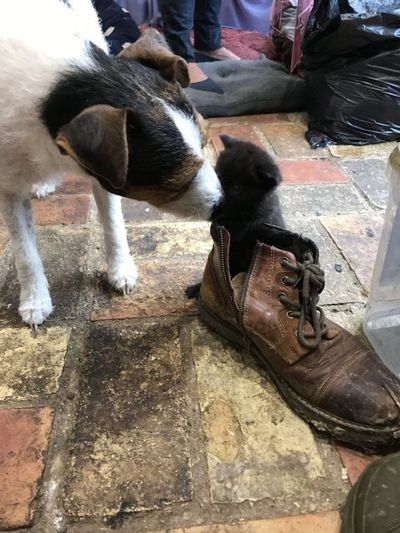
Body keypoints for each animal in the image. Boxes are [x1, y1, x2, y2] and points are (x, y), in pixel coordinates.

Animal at [0, 0, 222, 326]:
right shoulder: (9, 188)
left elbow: (114, 224)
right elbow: (24, 251)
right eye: (175, 184)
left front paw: (121, 270)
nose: (224, 204)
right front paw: (35, 300)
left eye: (206, 144)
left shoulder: (101, 175)